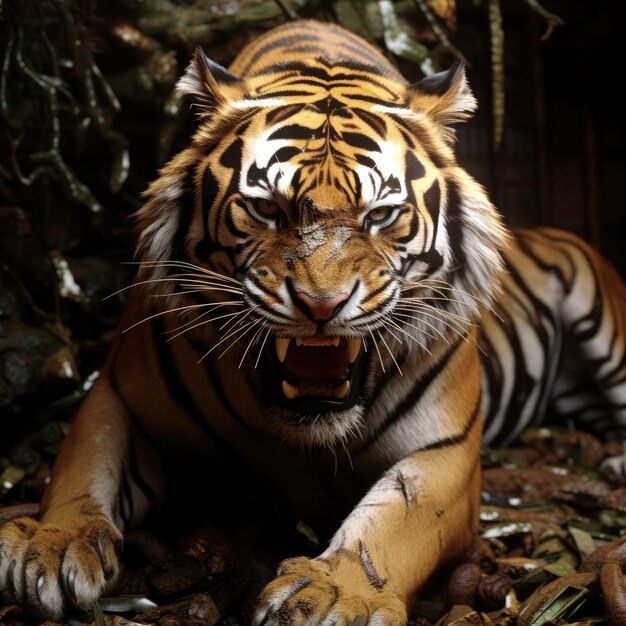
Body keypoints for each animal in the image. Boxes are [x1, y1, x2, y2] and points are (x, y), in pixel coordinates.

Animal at [1, 17, 624, 620]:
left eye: (381, 215)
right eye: (266, 208)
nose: (321, 305)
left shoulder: (446, 452)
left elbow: (395, 521)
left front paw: (337, 594)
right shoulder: (115, 397)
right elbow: (82, 471)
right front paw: (51, 545)